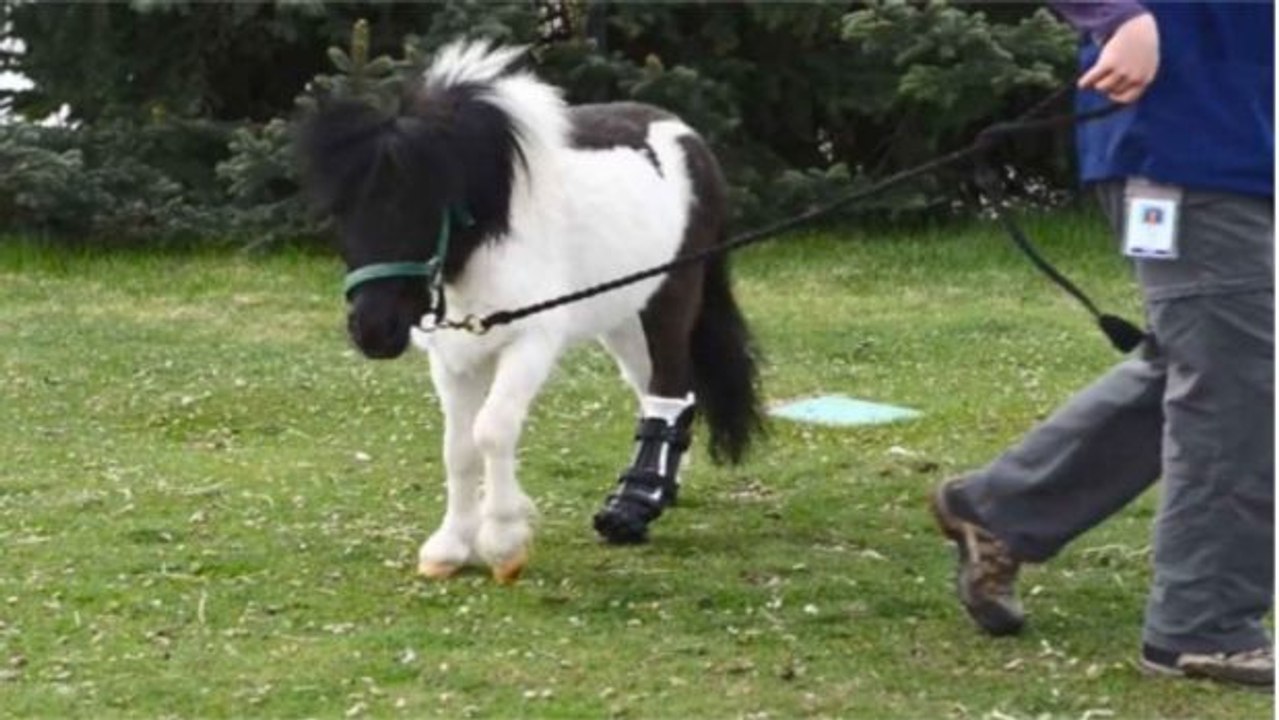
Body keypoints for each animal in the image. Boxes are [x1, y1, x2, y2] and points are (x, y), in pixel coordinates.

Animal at [299, 40, 762, 583]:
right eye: (341, 212)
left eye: (422, 205)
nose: (373, 330)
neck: (490, 236)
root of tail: (687, 137)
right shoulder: (453, 356)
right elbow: (458, 448)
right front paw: (450, 547)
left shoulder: (529, 341)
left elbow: (492, 431)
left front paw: (503, 544)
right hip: (623, 318)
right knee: (665, 389)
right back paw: (655, 493)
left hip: (670, 299)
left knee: (668, 387)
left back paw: (634, 504)